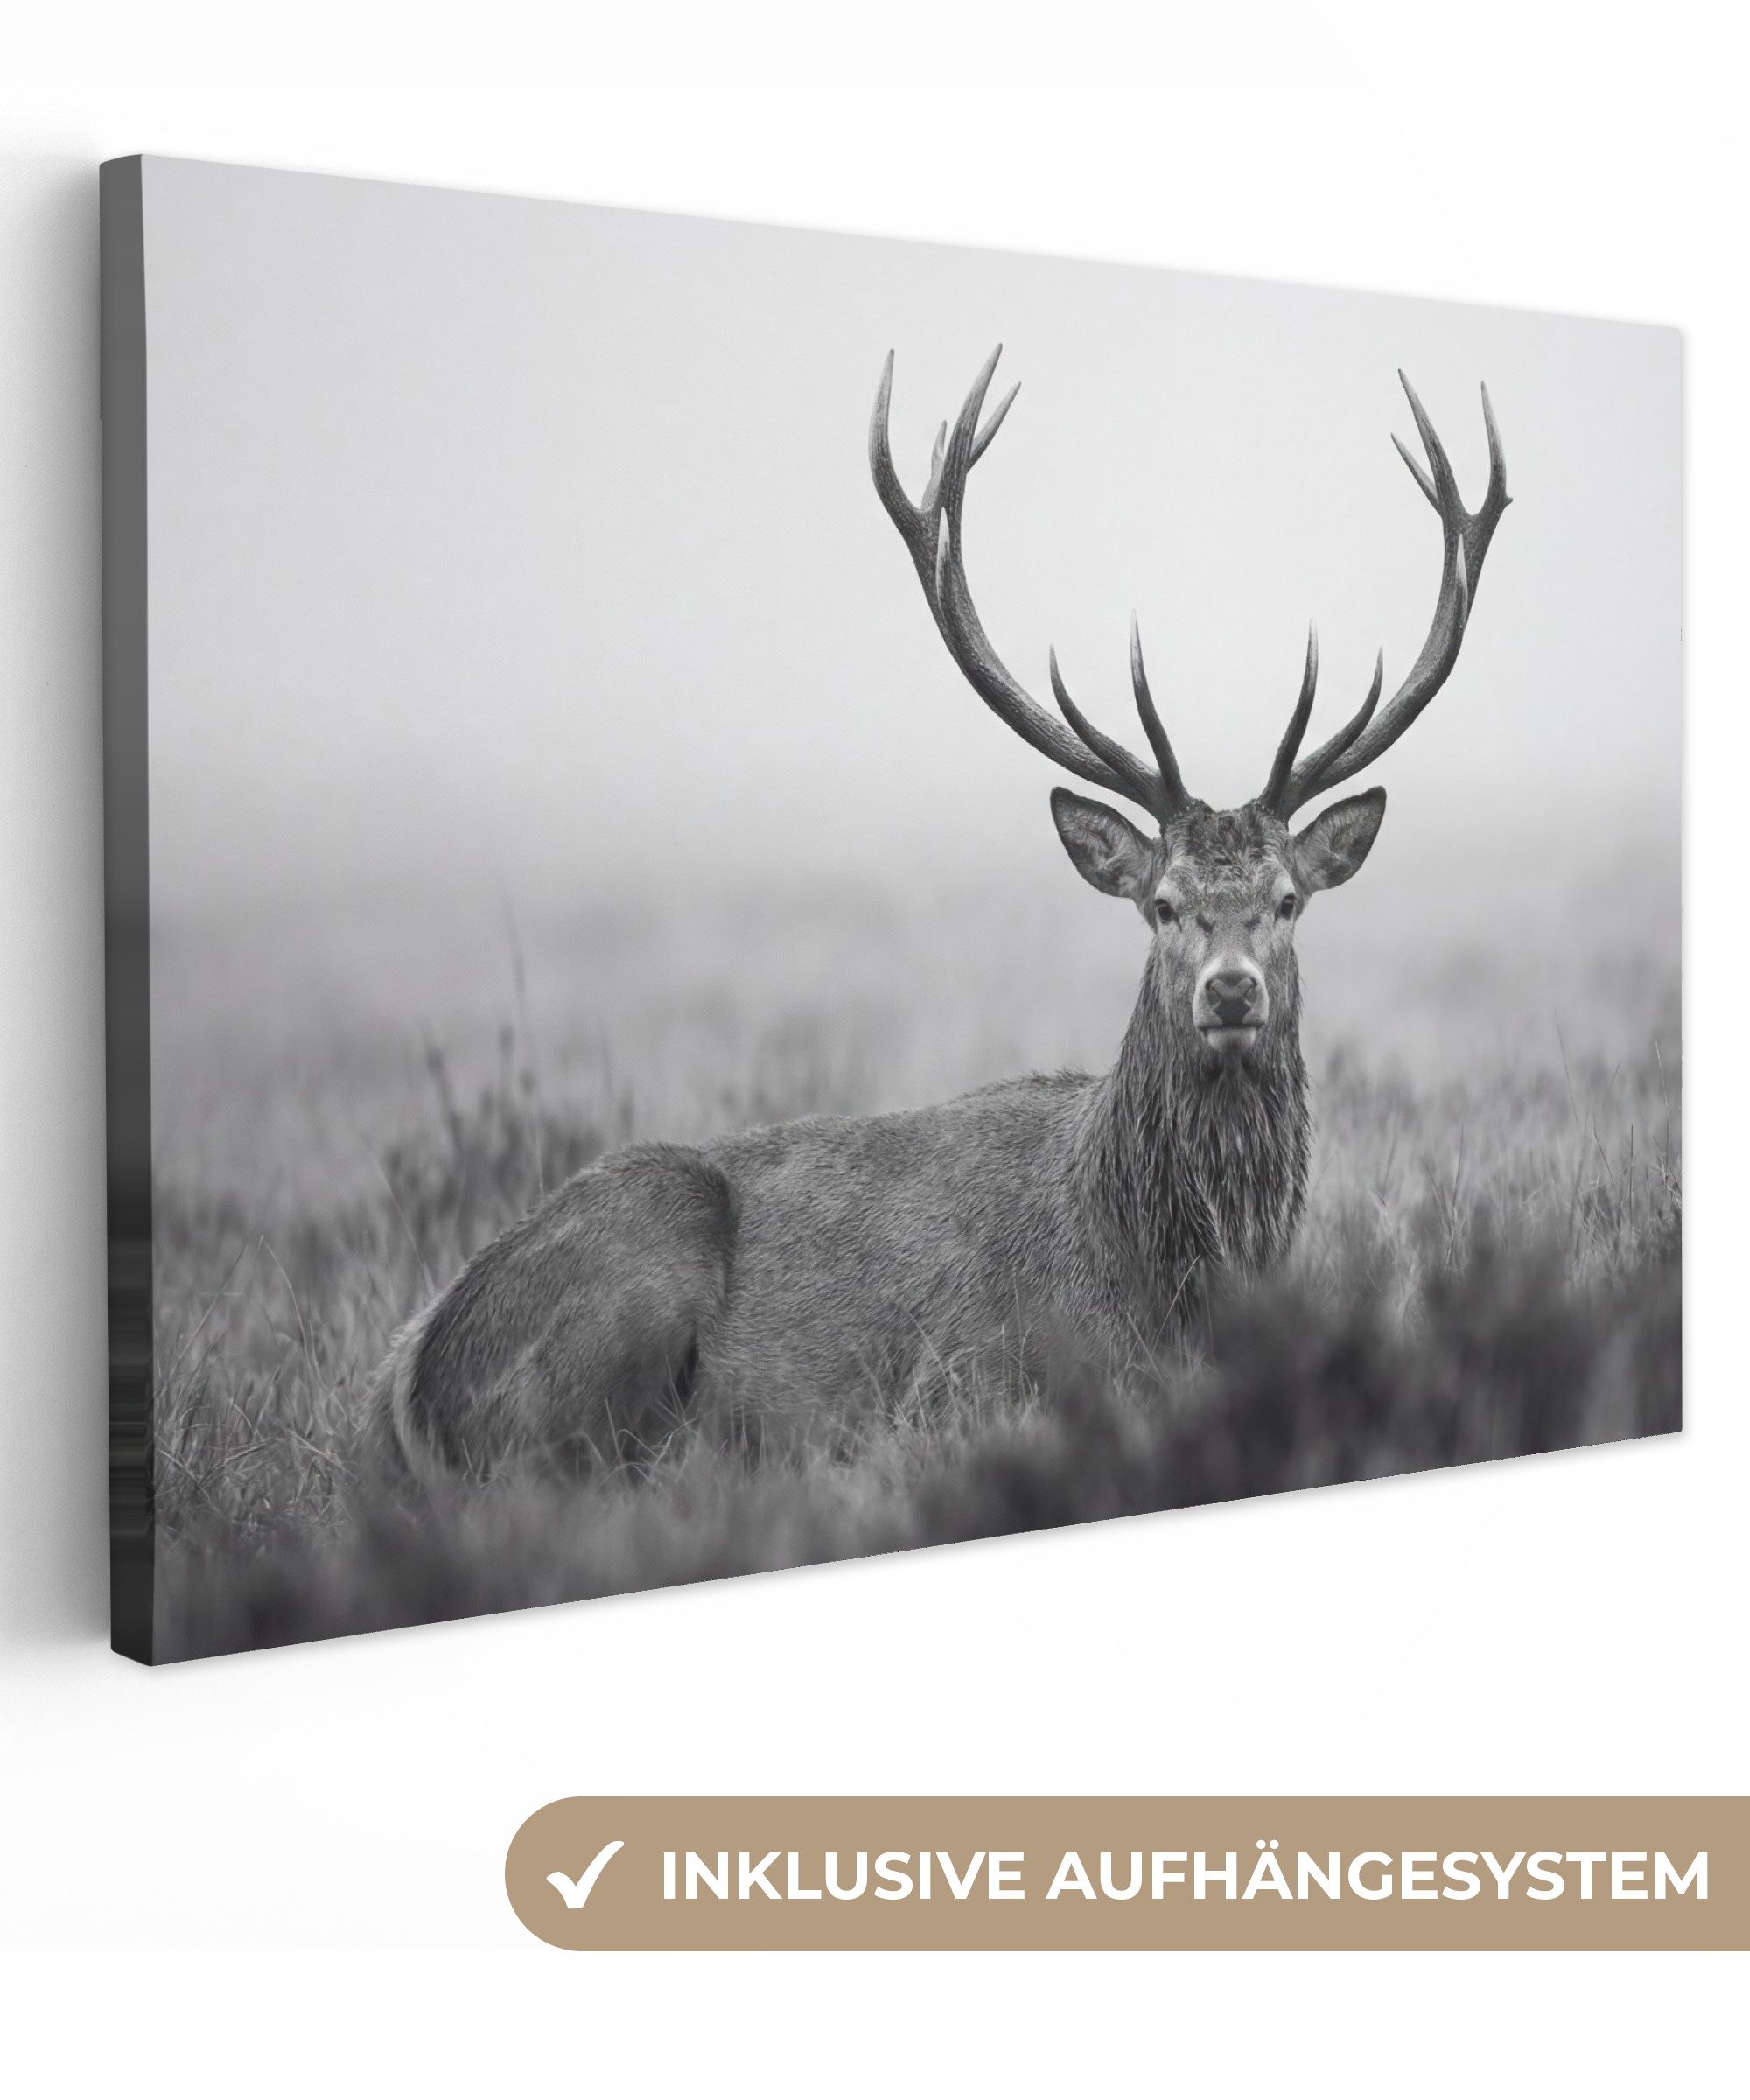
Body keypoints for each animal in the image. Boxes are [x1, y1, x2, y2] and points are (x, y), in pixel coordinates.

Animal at [369, 348, 1509, 1478]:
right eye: (1161, 905)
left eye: (1286, 901)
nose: (1231, 992)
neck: (1162, 1270)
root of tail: (410, 1378)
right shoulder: (973, 1374)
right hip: (632, 1276)